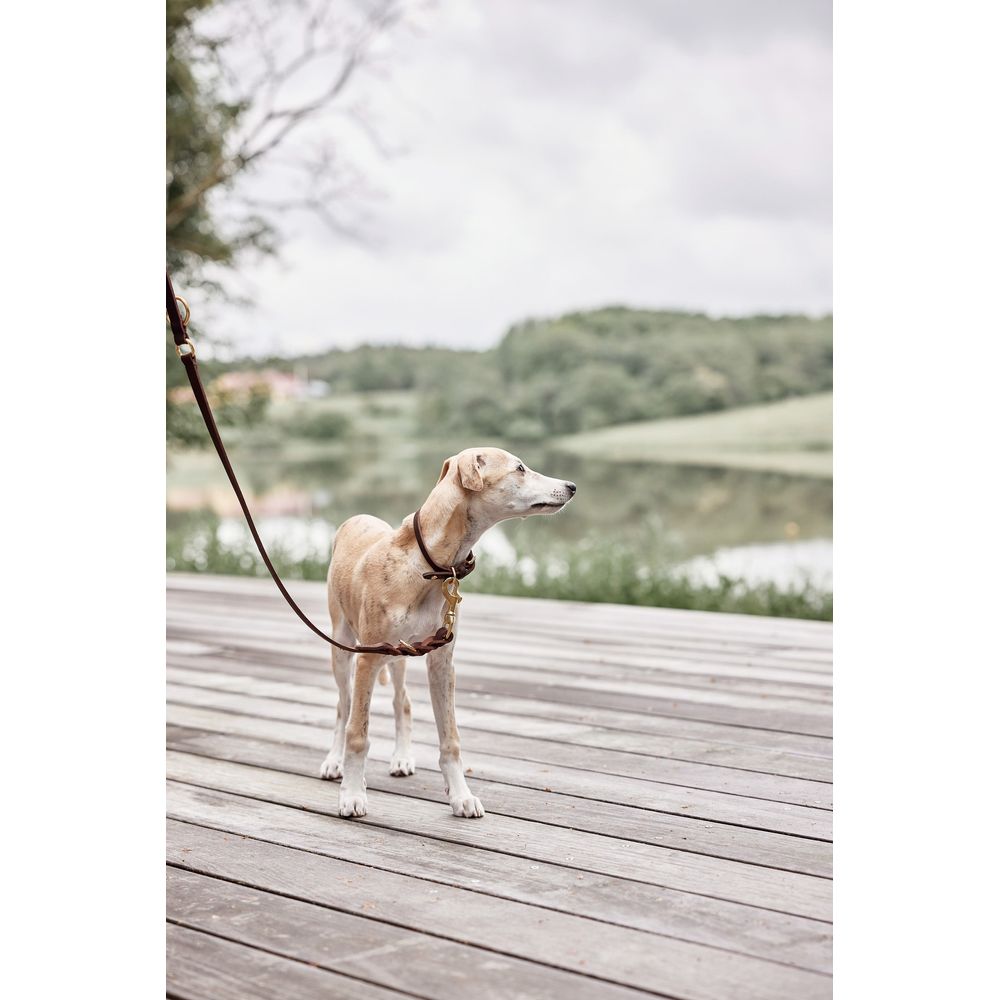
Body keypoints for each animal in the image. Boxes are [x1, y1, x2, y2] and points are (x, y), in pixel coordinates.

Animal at [316, 450, 576, 816]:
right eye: (520, 468)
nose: (571, 486)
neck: (426, 565)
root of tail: (355, 518)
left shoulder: (441, 661)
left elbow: (450, 737)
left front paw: (460, 796)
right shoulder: (367, 659)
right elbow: (358, 733)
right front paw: (352, 794)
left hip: (398, 654)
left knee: (402, 700)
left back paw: (402, 757)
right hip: (343, 647)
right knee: (344, 704)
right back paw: (333, 762)